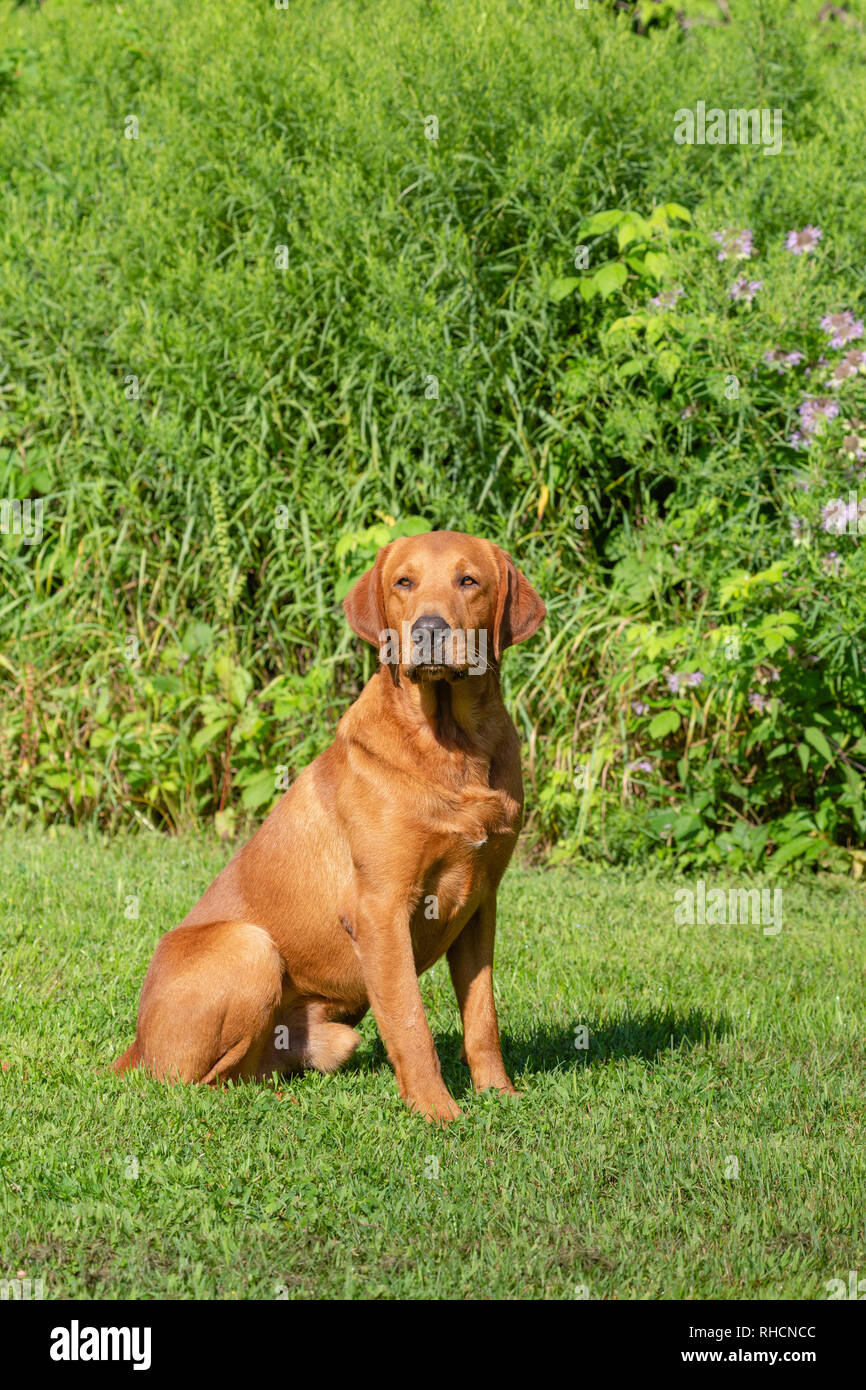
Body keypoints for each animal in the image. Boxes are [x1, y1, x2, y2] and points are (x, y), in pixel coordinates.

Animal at [114, 525, 544, 1123]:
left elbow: (483, 1017)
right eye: (404, 582)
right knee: (196, 1085)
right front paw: (439, 1113)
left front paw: (499, 1094)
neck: (453, 746)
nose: (429, 631)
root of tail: (134, 1047)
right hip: (251, 947)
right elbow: (411, 1023)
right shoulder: (380, 910)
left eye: (469, 581)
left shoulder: (481, 903)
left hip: (329, 1034)